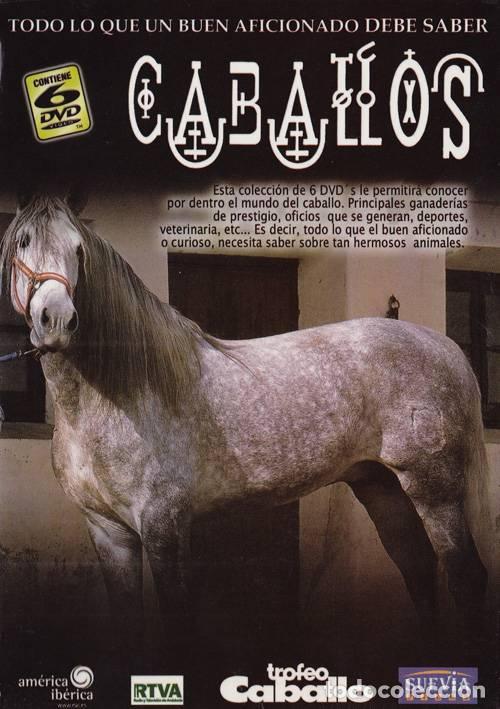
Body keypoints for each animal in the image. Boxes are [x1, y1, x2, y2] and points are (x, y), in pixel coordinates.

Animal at [0, 193, 488, 650]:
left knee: (466, 579)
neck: (119, 393)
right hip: (380, 486)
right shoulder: (108, 532)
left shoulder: (163, 525)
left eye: (78, 249)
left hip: (434, 491)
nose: (56, 319)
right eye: (23, 241)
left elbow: (179, 621)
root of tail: (446, 348)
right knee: (419, 571)